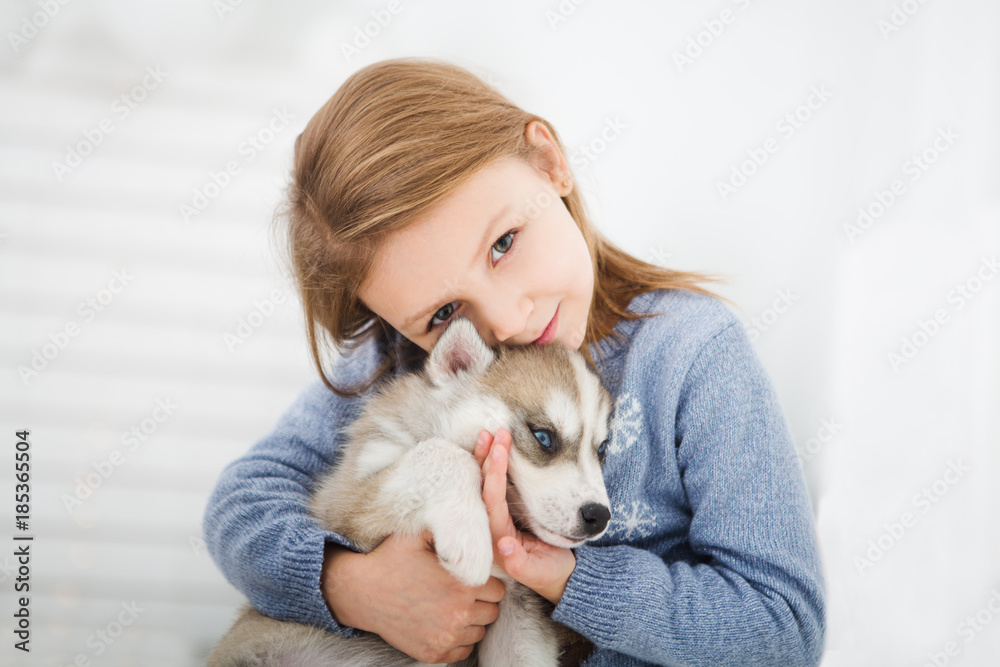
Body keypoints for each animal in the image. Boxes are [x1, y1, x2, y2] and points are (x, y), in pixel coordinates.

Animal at [208, 318, 612, 667]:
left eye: (602, 450)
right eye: (543, 437)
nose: (599, 516)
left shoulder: (515, 609)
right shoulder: (347, 505)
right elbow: (442, 452)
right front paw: (470, 543)